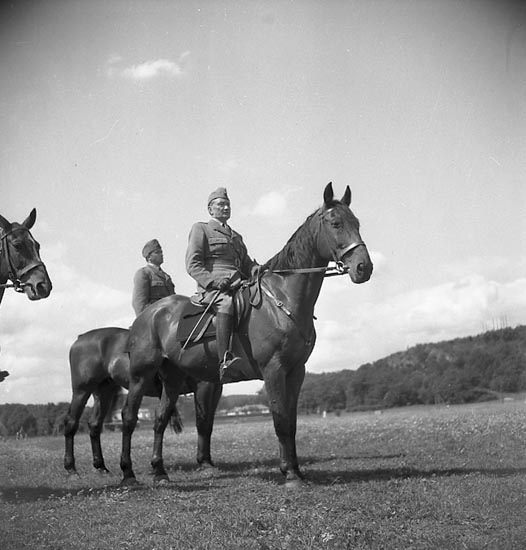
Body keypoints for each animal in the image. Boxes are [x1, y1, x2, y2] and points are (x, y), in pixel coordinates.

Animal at [63, 327, 222, 474]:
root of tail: (81, 338)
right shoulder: (203, 385)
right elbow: (202, 423)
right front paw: (204, 462)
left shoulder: (215, 389)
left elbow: (209, 424)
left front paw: (208, 461)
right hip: (81, 390)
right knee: (71, 422)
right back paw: (71, 468)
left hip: (103, 392)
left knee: (95, 424)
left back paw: (101, 467)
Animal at [120, 182, 373, 487]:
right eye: (336, 223)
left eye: (357, 223)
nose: (364, 268)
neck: (282, 300)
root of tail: (149, 314)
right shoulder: (274, 369)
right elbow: (280, 419)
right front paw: (290, 474)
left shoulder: (296, 371)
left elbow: (291, 422)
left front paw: (296, 470)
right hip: (140, 375)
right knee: (129, 417)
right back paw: (128, 473)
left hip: (173, 378)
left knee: (159, 419)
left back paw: (160, 472)